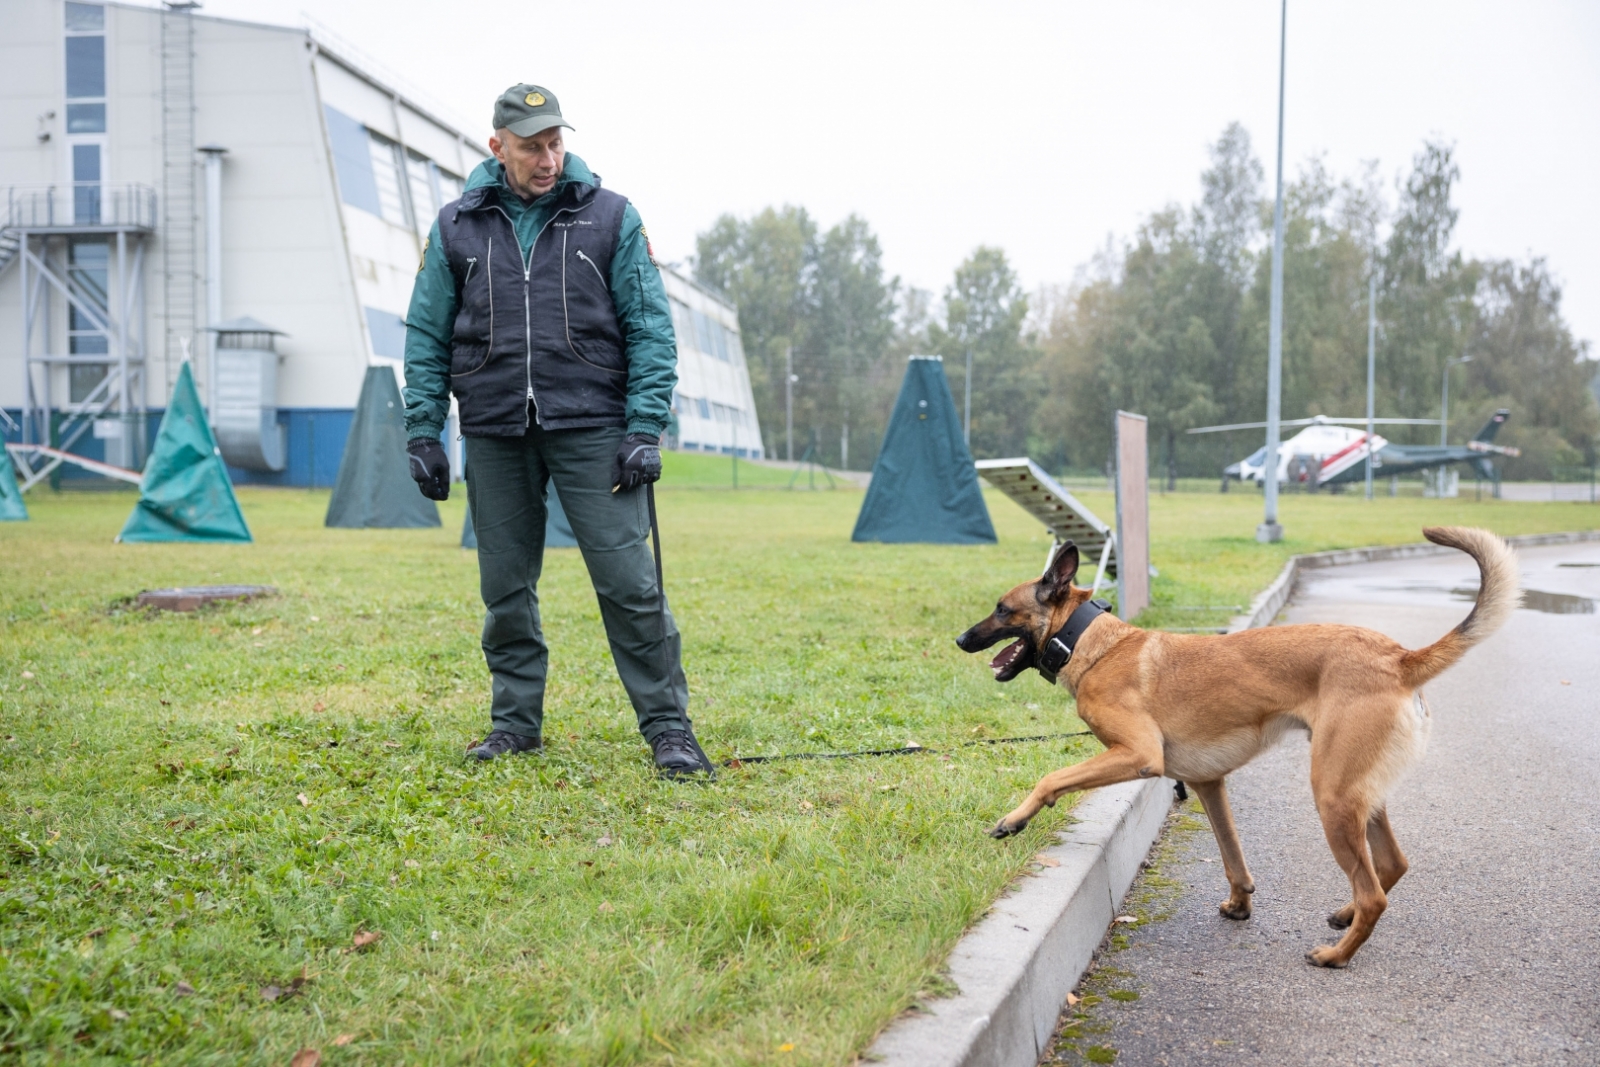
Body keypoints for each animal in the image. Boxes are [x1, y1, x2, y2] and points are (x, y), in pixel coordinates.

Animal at [953, 524, 1516, 966]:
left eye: (1001, 609)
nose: (959, 640)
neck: (1089, 641)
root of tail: (1399, 658)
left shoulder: (1137, 756)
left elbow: (1051, 778)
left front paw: (1014, 819)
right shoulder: (1209, 784)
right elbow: (1233, 858)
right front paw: (1240, 905)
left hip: (1333, 795)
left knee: (1375, 892)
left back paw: (1336, 956)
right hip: (1359, 794)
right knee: (1391, 866)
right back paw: (1344, 914)